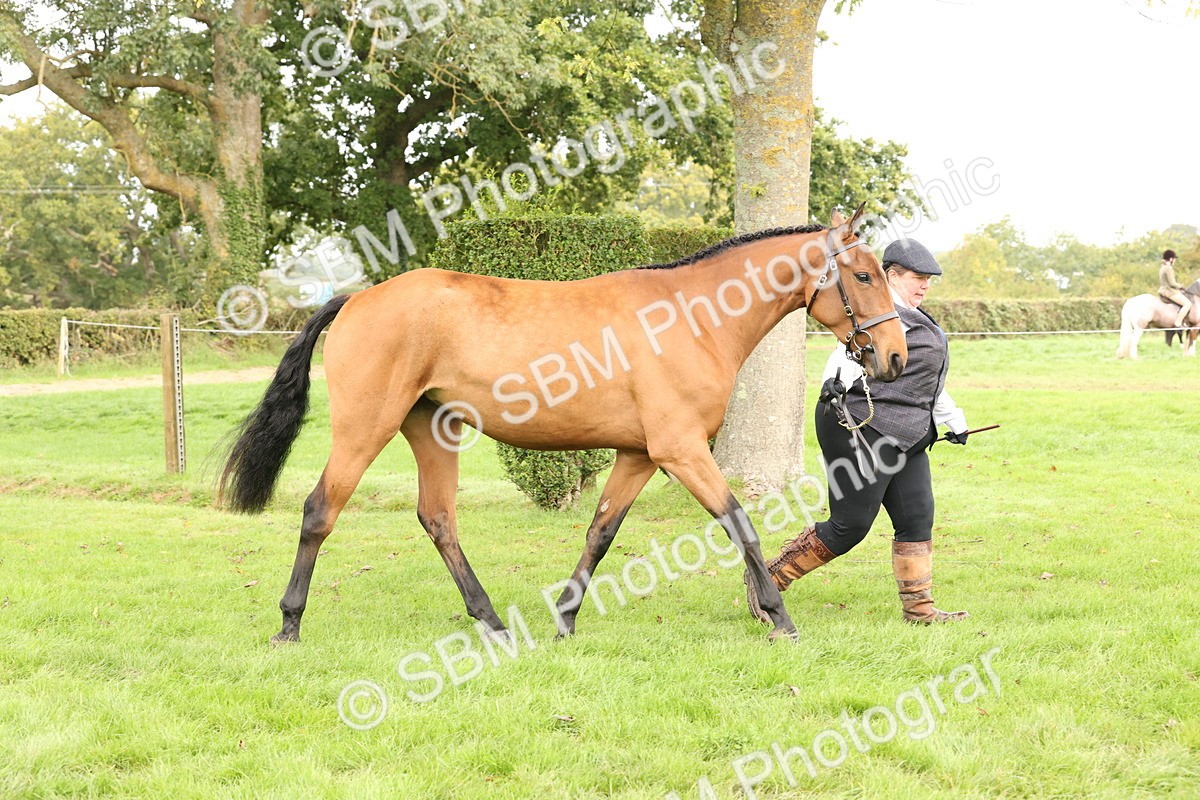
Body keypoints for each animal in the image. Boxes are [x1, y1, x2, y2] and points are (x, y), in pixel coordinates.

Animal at [219, 206, 907, 645]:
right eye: (863, 275)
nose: (895, 357)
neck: (691, 317)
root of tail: (356, 298)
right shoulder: (681, 450)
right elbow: (739, 522)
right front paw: (778, 617)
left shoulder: (640, 455)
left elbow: (601, 533)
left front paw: (565, 619)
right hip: (366, 429)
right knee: (320, 511)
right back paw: (289, 624)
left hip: (432, 430)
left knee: (438, 519)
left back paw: (495, 624)